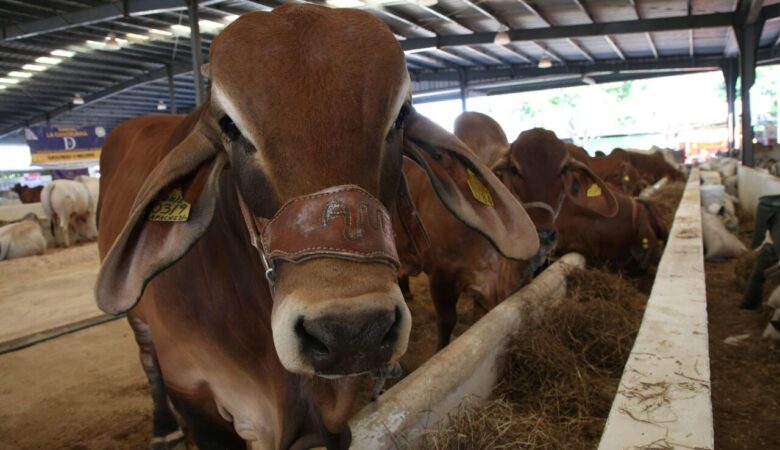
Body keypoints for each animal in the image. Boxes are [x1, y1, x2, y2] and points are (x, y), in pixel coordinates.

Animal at [94, 4, 540, 450]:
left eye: (400, 116)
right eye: (229, 126)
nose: (351, 332)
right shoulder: (193, 391)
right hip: (141, 327)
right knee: (147, 359)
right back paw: (163, 427)